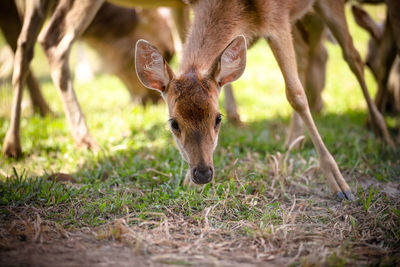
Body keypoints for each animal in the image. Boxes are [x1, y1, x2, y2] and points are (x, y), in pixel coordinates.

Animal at [134, 0, 394, 201]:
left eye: (218, 118)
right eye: (173, 123)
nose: (203, 173)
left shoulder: (277, 20)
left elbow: (296, 95)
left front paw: (340, 185)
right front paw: (188, 183)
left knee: (353, 58)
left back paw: (384, 136)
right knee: (306, 55)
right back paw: (293, 142)